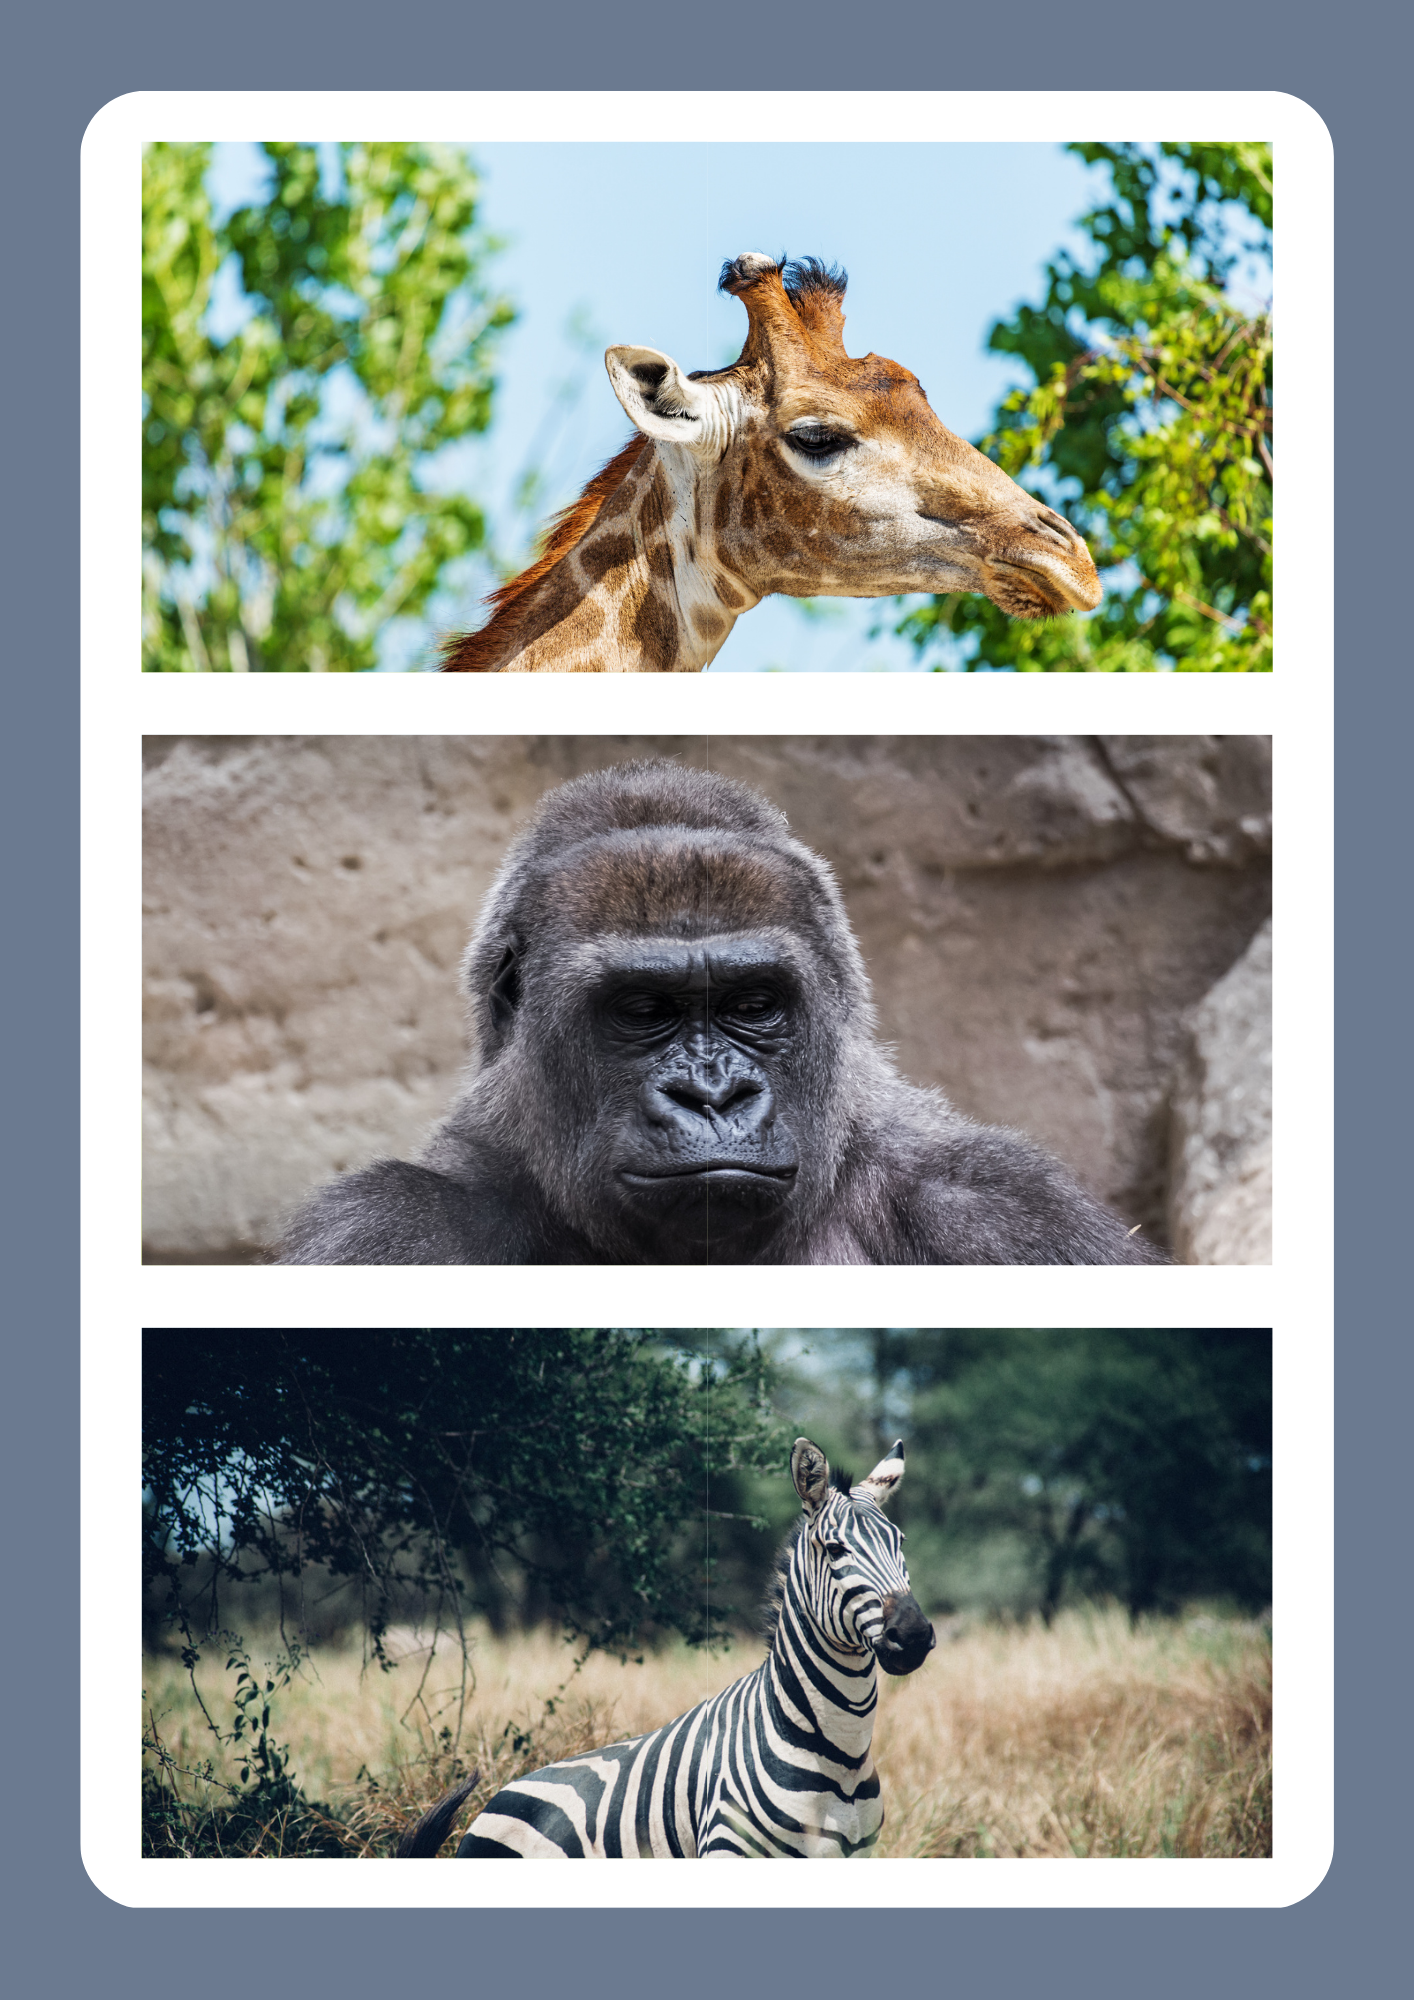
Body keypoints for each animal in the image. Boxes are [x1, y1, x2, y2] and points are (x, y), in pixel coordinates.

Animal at [399, 1436, 935, 1858]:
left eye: (902, 1543)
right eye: (835, 1549)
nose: (913, 1635)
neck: (838, 1755)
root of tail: (495, 1800)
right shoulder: (727, 1850)